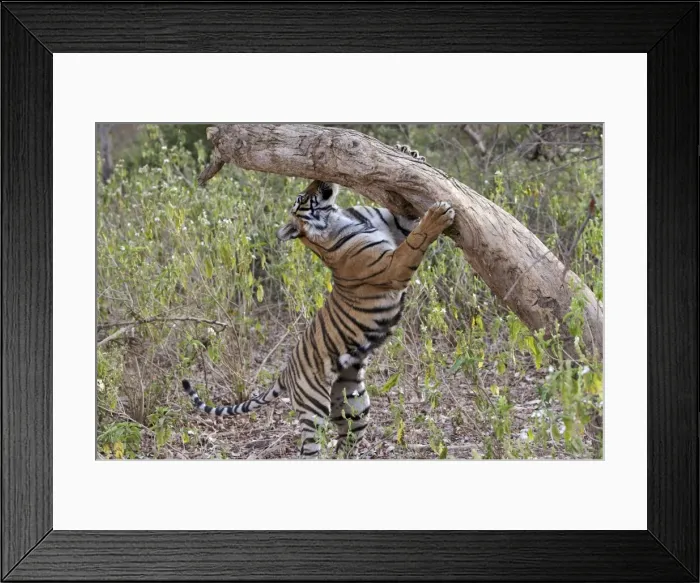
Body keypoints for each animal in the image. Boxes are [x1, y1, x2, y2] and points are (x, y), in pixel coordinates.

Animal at [182, 146, 455, 457]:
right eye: (302, 197)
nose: (319, 178)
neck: (337, 217)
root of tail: (285, 374)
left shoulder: (394, 226)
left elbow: (405, 218)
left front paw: (409, 153)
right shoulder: (392, 266)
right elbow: (416, 240)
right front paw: (439, 214)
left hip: (355, 404)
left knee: (345, 443)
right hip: (313, 410)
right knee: (310, 450)